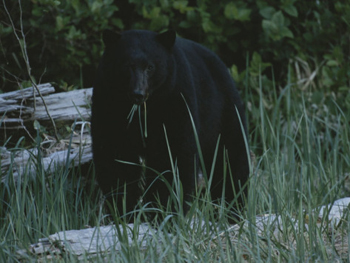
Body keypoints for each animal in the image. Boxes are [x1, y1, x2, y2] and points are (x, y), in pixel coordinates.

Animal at [90, 29, 249, 223]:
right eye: (127, 65)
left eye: (150, 67)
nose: (138, 94)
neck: (143, 111)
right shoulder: (107, 103)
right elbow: (116, 157)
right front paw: (124, 212)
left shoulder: (175, 98)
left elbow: (172, 155)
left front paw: (165, 211)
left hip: (222, 112)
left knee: (230, 157)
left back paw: (234, 210)